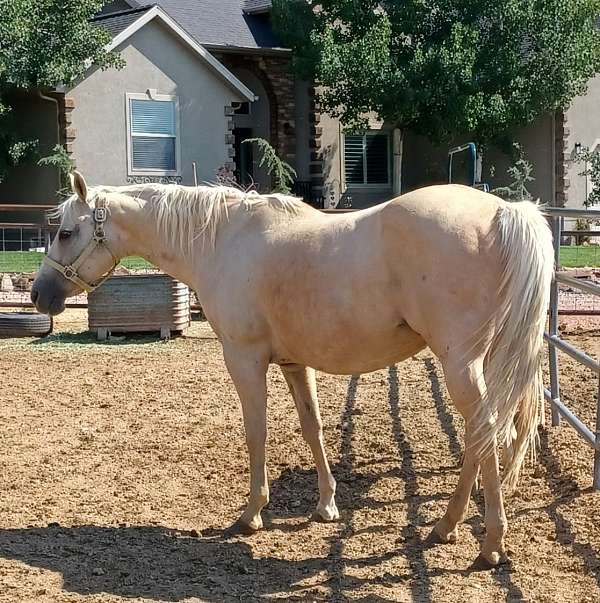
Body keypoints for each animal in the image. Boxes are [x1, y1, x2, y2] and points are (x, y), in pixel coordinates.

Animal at [31, 173, 552, 568]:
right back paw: (446, 525)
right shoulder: (294, 363)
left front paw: (252, 513)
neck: (223, 241)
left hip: (460, 362)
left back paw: (489, 544)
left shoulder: (244, 358)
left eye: (65, 232)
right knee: (484, 435)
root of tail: (504, 212)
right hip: (480, 363)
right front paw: (325, 505)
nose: (40, 295)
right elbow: (312, 427)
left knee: (485, 432)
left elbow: (256, 431)